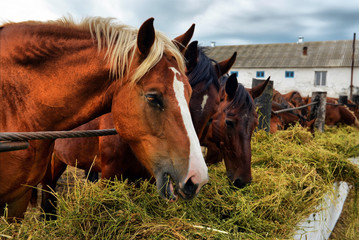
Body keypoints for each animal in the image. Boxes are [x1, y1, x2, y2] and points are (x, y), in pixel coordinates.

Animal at [0, 16, 208, 219]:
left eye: (190, 93)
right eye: (152, 97)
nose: (197, 177)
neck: (17, 106)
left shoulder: (19, 198)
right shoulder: (109, 175)